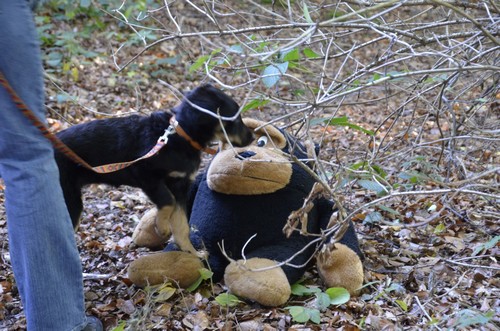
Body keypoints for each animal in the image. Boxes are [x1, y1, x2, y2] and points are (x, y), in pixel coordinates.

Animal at [54, 85, 254, 256]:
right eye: (234, 119)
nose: (252, 137)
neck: (180, 135)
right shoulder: (146, 175)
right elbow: (168, 202)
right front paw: (162, 228)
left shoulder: (181, 185)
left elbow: (182, 224)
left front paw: (192, 253)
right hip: (70, 201)